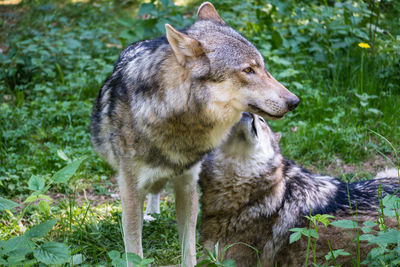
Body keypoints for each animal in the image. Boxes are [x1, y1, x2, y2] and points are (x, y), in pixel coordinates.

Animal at [89, 2, 298, 266]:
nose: (295, 101)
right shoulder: (130, 191)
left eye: (263, 67)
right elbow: (135, 252)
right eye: (248, 70)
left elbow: (188, 248)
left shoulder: (188, 185)